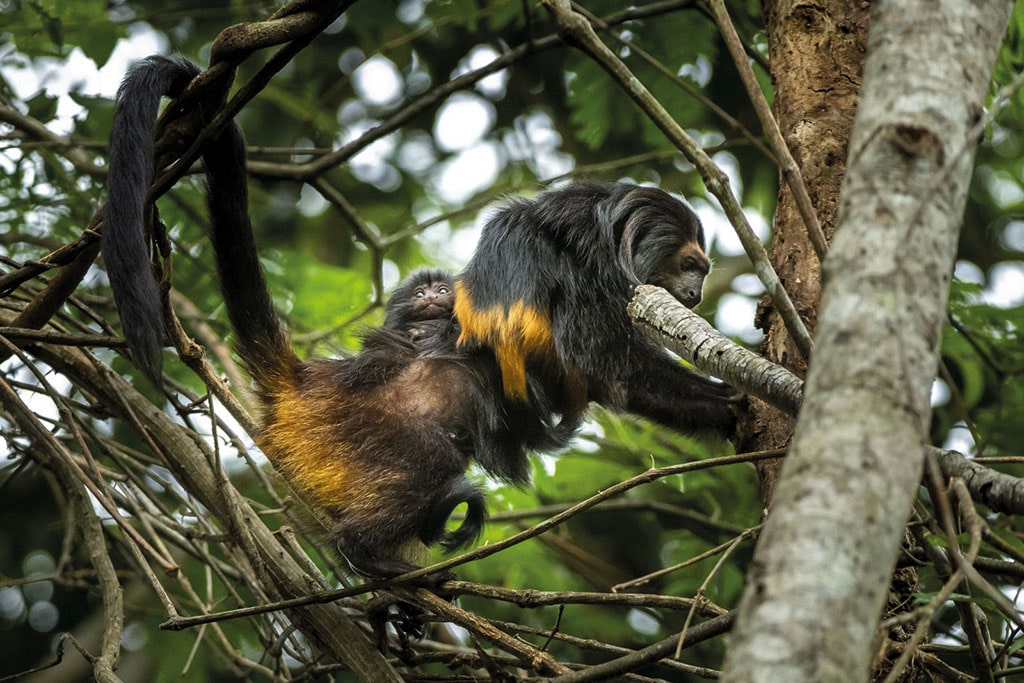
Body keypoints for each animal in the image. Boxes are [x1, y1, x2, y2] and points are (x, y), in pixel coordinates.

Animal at [102, 56, 487, 585]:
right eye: (423, 293)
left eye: (443, 290)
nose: (432, 296)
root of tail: (305, 380)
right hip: (341, 428)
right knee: (432, 456)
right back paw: (363, 549)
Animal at [454, 181, 737, 481]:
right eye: (688, 265)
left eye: (702, 272)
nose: (696, 293)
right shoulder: (579, 264)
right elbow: (596, 352)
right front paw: (719, 394)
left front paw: (722, 411)